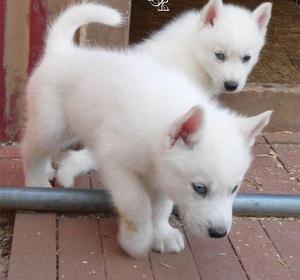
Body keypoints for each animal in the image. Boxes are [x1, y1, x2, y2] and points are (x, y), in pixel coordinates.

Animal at [22, 3, 272, 258]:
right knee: (31, 150)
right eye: (199, 188)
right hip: (52, 126)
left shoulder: (164, 173)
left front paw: (162, 233)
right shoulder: (116, 165)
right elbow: (137, 203)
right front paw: (137, 239)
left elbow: (162, 206)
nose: (219, 233)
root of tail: (62, 52)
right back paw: (37, 182)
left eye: (234, 189)